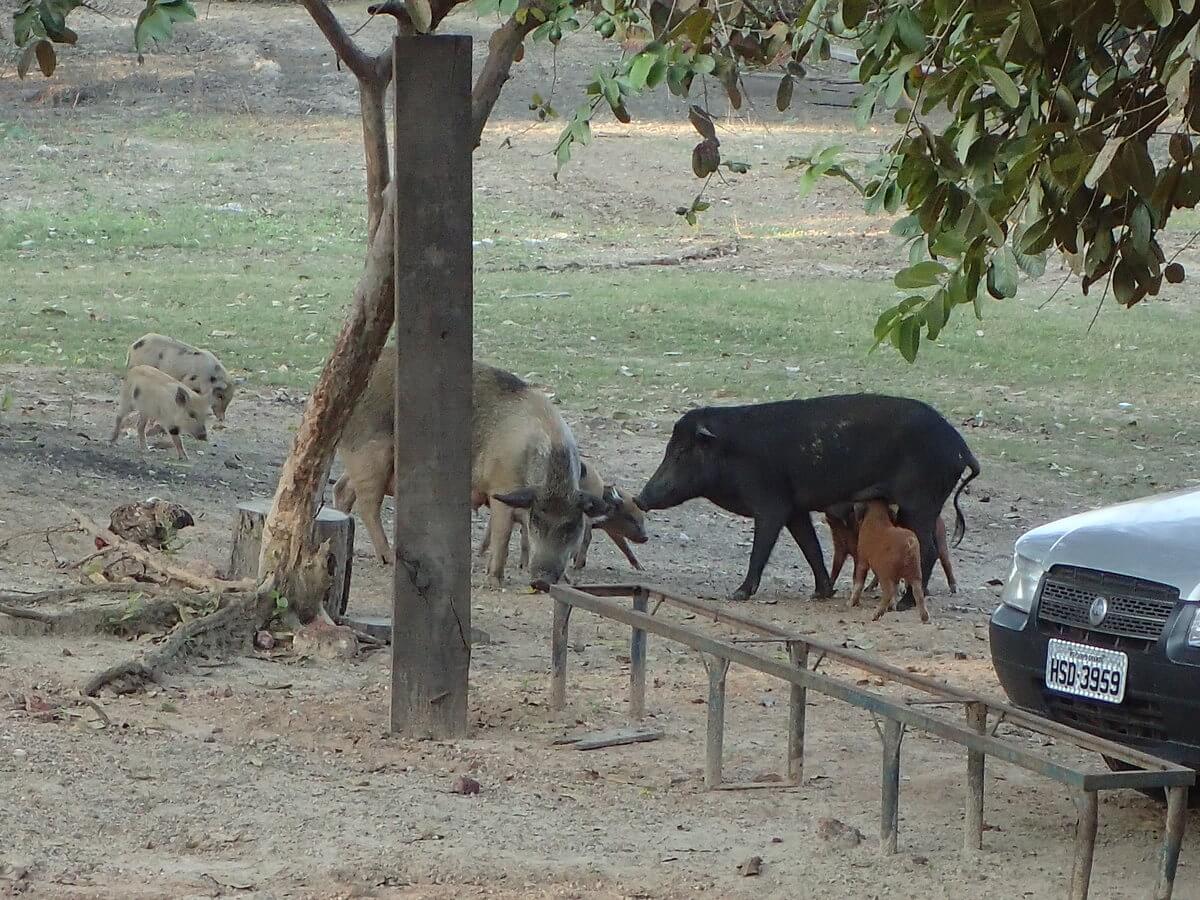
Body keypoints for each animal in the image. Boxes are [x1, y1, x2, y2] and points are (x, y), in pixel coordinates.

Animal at [331, 355, 604, 595]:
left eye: (572, 525)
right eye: (536, 520)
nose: (542, 581)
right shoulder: (501, 487)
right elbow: (502, 535)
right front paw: (494, 582)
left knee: (342, 490)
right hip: (370, 455)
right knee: (368, 505)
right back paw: (387, 557)